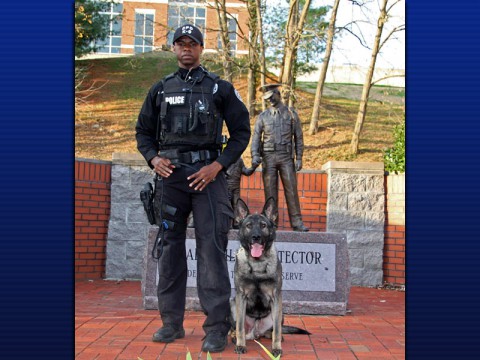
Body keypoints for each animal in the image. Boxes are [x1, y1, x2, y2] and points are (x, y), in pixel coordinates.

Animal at [232, 198, 314, 356]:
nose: (256, 237)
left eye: (263, 225)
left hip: (281, 311)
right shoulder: (241, 296)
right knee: (238, 328)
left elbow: (276, 329)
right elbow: (240, 326)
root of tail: (256, 333)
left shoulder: (276, 297)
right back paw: (234, 336)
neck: (257, 264)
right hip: (233, 303)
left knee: (273, 331)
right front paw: (240, 344)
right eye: (249, 226)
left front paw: (276, 348)